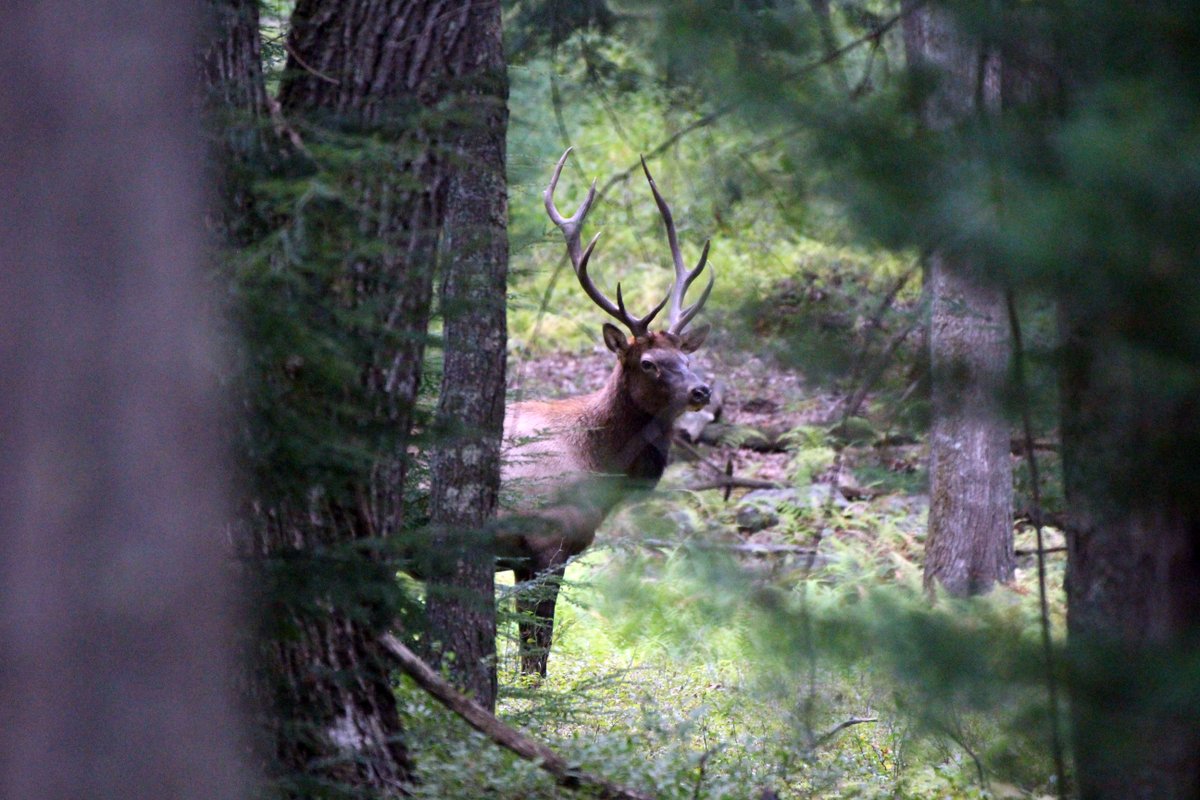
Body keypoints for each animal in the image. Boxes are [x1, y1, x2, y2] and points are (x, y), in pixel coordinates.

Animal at [497, 149, 714, 677]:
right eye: (649, 362)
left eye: (687, 356)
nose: (702, 390)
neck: (597, 468)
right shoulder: (545, 541)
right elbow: (537, 651)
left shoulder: (523, 558)